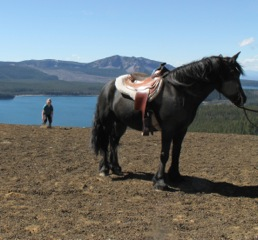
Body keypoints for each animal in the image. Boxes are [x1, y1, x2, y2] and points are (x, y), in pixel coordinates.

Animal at [90, 52, 246, 189]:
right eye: (233, 73)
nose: (242, 98)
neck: (179, 92)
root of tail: (107, 87)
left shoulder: (182, 129)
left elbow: (176, 152)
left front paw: (175, 176)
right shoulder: (168, 129)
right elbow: (164, 154)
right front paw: (160, 181)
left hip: (121, 123)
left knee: (114, 142)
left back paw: (115, 167)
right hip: (106, 122)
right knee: (104, 143)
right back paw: (104, 169)